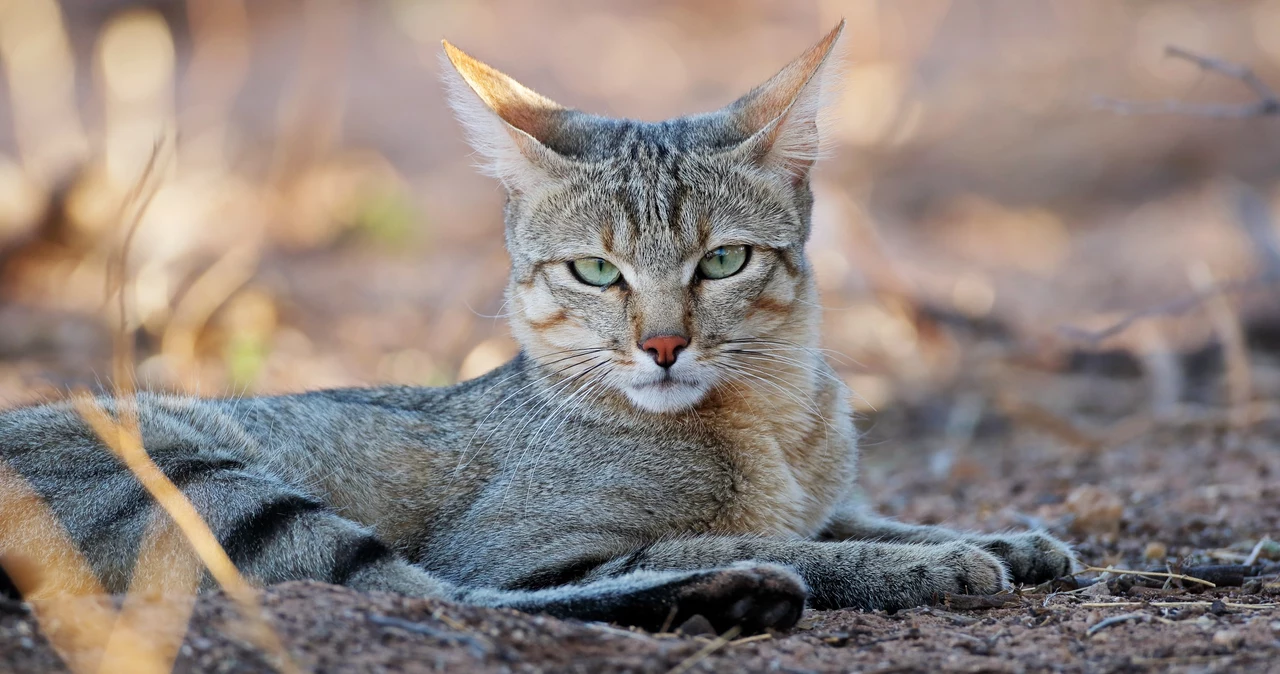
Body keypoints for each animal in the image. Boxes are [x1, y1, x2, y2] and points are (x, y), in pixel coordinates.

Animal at [0, 23, 1070, 639]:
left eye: (723, 261)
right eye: (596, 271)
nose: (664, 345)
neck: (772, 423)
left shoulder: (818, 494)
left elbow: (852, 517)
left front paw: (1007, 538)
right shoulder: (527, 548)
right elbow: (763, 542)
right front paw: (924, 563)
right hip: (207, 486)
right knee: (423, 593)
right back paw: (729, 595)